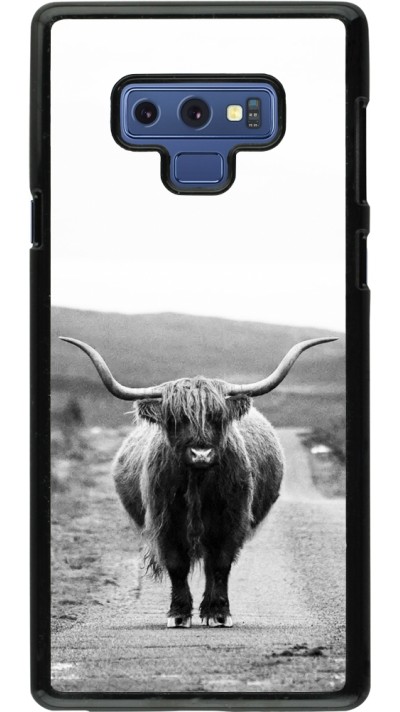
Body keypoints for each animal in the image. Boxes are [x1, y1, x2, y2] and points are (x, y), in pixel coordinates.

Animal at [60, 335, 336, 628]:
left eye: (217, 417)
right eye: (176, 419)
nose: (201, 453)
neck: (197, 483)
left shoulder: (231, 521)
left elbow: (220, 565)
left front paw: (218, 612)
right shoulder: (165, 522)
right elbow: (177, 565)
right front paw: (178, 614)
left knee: (210, 565)